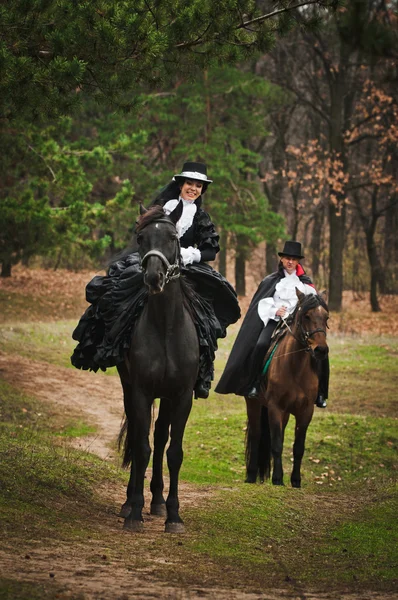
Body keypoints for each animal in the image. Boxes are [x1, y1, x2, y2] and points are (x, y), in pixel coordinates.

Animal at [117, 204, 199, 532]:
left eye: (173, 237)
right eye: (140, 237)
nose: (154, 277)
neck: (165, 327)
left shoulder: (182, 395)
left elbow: (174, 452)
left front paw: (174, 515)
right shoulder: (140, 391)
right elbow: (141, 448)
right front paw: (135, 512)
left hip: (166, 397)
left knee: (162, 435)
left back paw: (158, 501)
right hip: (130, 389)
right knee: (139, 435)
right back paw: (131, 502)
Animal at [246, 290, 330, 488]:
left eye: (326, 317)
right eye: (306, 316)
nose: (321, 350)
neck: (295, 367)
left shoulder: (306, 411)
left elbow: (298, 447)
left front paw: (295, 481)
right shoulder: (275, 407)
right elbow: (276, 444)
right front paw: (277, 479)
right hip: (254, 404)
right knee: (256, 436)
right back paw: (251, 476)